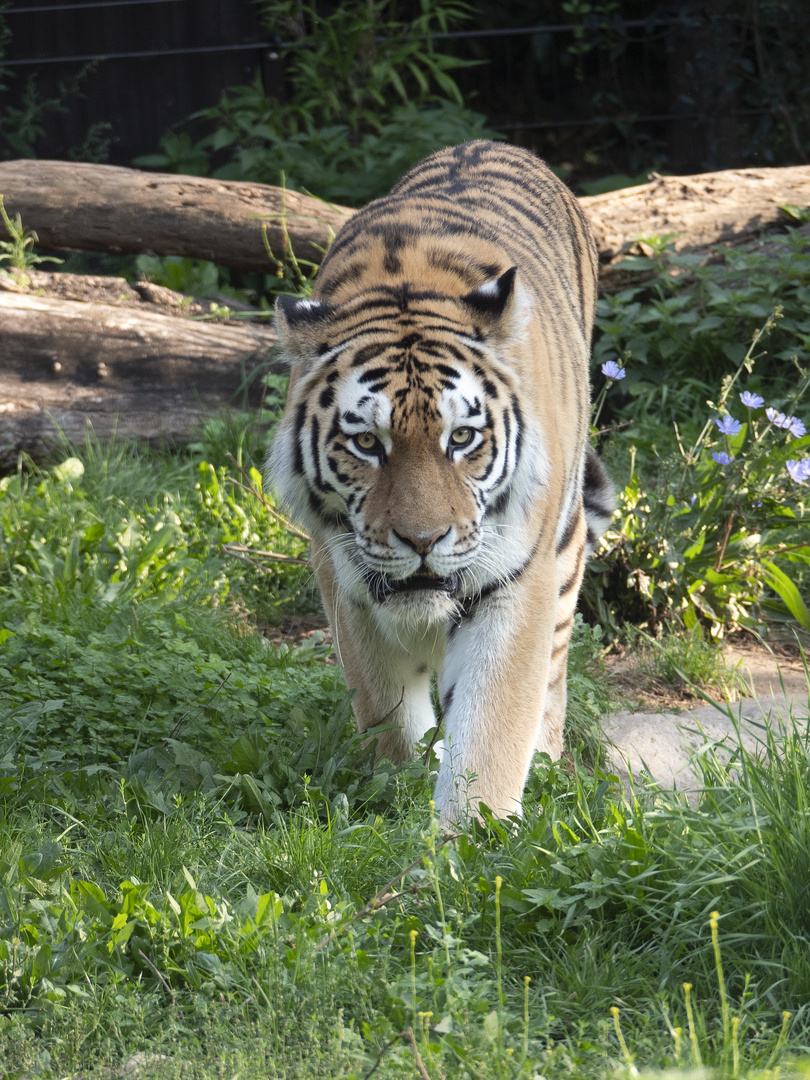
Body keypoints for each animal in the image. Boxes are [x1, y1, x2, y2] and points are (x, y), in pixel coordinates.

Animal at [267, 139, 613, 820]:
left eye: (461, 439)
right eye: (367, 443)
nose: (423, 542)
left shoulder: (517, 582)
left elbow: (492, 727)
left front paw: (471, 835)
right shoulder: (347, 584)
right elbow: (389, 711)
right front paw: (401, 790)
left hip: (565, 546)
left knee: (556, 664)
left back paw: (548, 759)